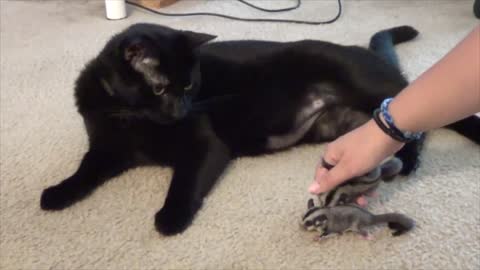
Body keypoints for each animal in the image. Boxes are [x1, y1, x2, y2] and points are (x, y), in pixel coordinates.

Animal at [41, 23, 480, 234]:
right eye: (162, 88)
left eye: (191, 85)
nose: (181, 109)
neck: (133, 118)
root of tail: (364, 52)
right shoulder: (105, 149)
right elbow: (84, 171)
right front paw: (57, 194)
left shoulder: (204, 143)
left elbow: (183, 183)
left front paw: (170, 219)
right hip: (342, 122)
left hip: (371, 88)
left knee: (412, 116)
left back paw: (411, 158)